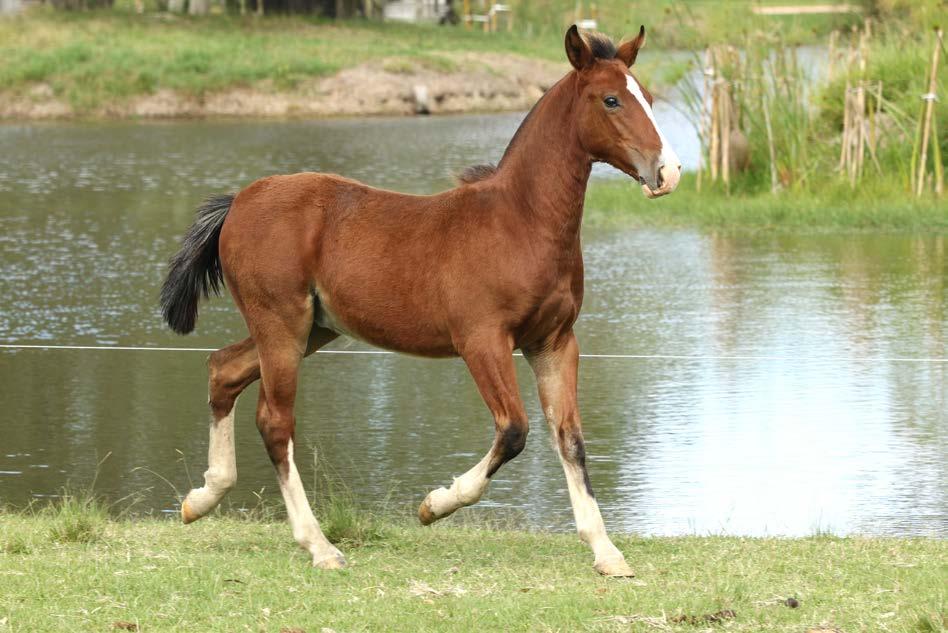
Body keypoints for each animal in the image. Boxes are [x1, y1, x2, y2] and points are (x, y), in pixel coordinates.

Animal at [159, 27, 676, 576]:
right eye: (611, 99)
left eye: (649, 95)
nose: (668, 171)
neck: (520, 221)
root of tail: (238, 201)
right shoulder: (482, 340)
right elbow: (514, 430)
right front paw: (434, 505)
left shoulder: (554, 342)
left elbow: (571, 439)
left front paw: (607, 551)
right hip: (281, 324)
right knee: (275, 422)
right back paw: (319, 545)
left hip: (310, 328)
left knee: (223, 370)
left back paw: (201, 499)